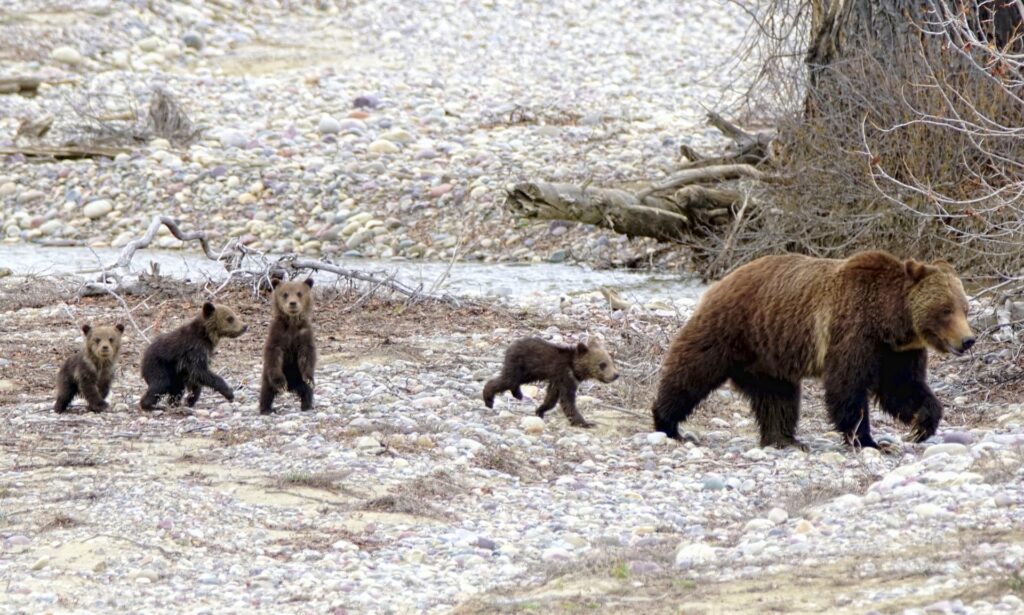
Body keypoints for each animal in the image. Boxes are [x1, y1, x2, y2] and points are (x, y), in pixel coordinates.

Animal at [259, 278, 317, 414]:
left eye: (299, 293)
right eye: (285, 294)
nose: (292, 303)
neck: (292, 322)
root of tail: (293, 387)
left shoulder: (304, 334)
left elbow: (307, 355)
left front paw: (309, 378)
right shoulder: (278, 334)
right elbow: (274, 355)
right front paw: (281, 383)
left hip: (298, 378)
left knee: (307, 391)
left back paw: (307, 405)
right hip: (267, 377)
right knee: (266, 391)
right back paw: (266, 408)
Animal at [482, 337, 620, 427]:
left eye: (611, 362)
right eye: (602, 364)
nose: (615, 375)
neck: (574, 368)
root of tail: (510, 346)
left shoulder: (557, 380)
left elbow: (551, 398)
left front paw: (540, 410)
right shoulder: (565, 377)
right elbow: (568, 401)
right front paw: (585, 422)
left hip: (527, 373)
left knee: (512, 381)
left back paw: (517, 394)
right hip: (521, 366)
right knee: (507, 380)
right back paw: (488, 399)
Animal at [651, 251, 974, 450]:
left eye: (964, 308)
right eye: (946, 310)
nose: (968, 340)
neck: (889, 321)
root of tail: (722, 281)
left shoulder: (896, 352)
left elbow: (903, 388)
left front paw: (922, 424)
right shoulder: (854, 332)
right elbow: (848, 386)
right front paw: (868, 440)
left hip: (768, 356)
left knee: (777, 396)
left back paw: (785, 439)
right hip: (731, 329)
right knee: (692, 371)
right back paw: (667, 422)